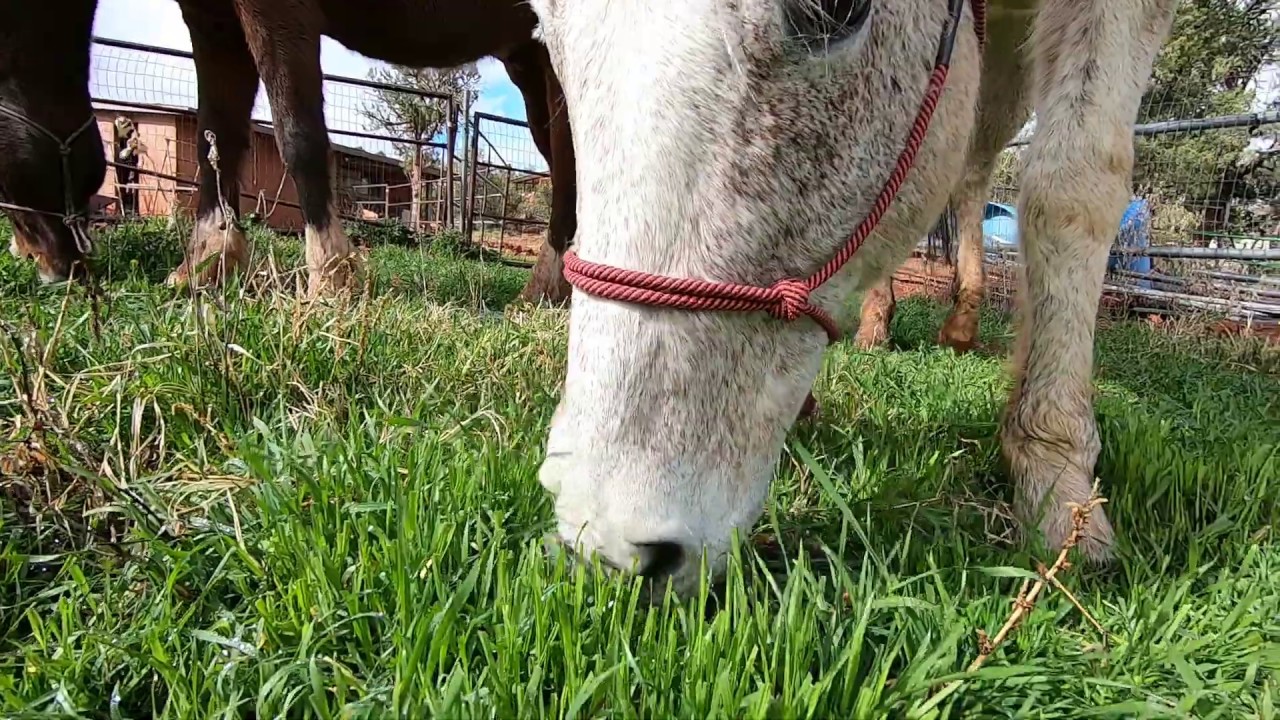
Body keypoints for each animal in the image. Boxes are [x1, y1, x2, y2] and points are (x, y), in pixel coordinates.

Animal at [168, 0, 576, 303]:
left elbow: (299, 137)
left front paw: (330, 277)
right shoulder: (211, 16)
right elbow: (215, 137)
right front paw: (206, 263)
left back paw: (543, 289)